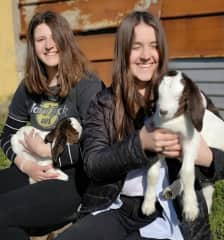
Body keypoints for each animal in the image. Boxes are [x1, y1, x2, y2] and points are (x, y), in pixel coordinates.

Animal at [142, 70, 224, 221]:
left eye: (180, 97)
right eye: (158, 94)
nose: (163, 111)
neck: (173, 121)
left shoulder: (191, 143)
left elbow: (187, 173)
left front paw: (191, 209)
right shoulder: (159, 142)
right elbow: (152, 173)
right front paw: (148, 205)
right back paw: (171, 190)